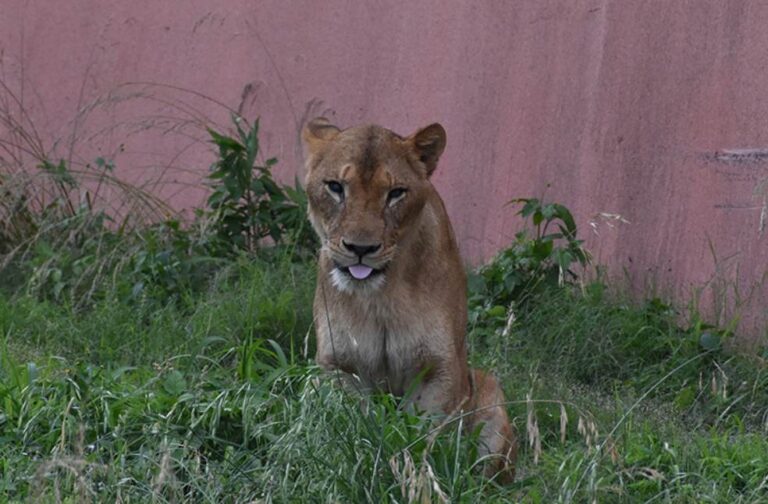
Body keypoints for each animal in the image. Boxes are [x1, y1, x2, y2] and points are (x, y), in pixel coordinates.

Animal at [303, 117, 516, 482]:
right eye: (335, 187)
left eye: (396, 193)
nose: (360, 248)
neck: (381, 298)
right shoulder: (338, 367)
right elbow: (352, 426)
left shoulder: (441, 369)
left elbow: (420, 436)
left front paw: (414, 474)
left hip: (488, 391)